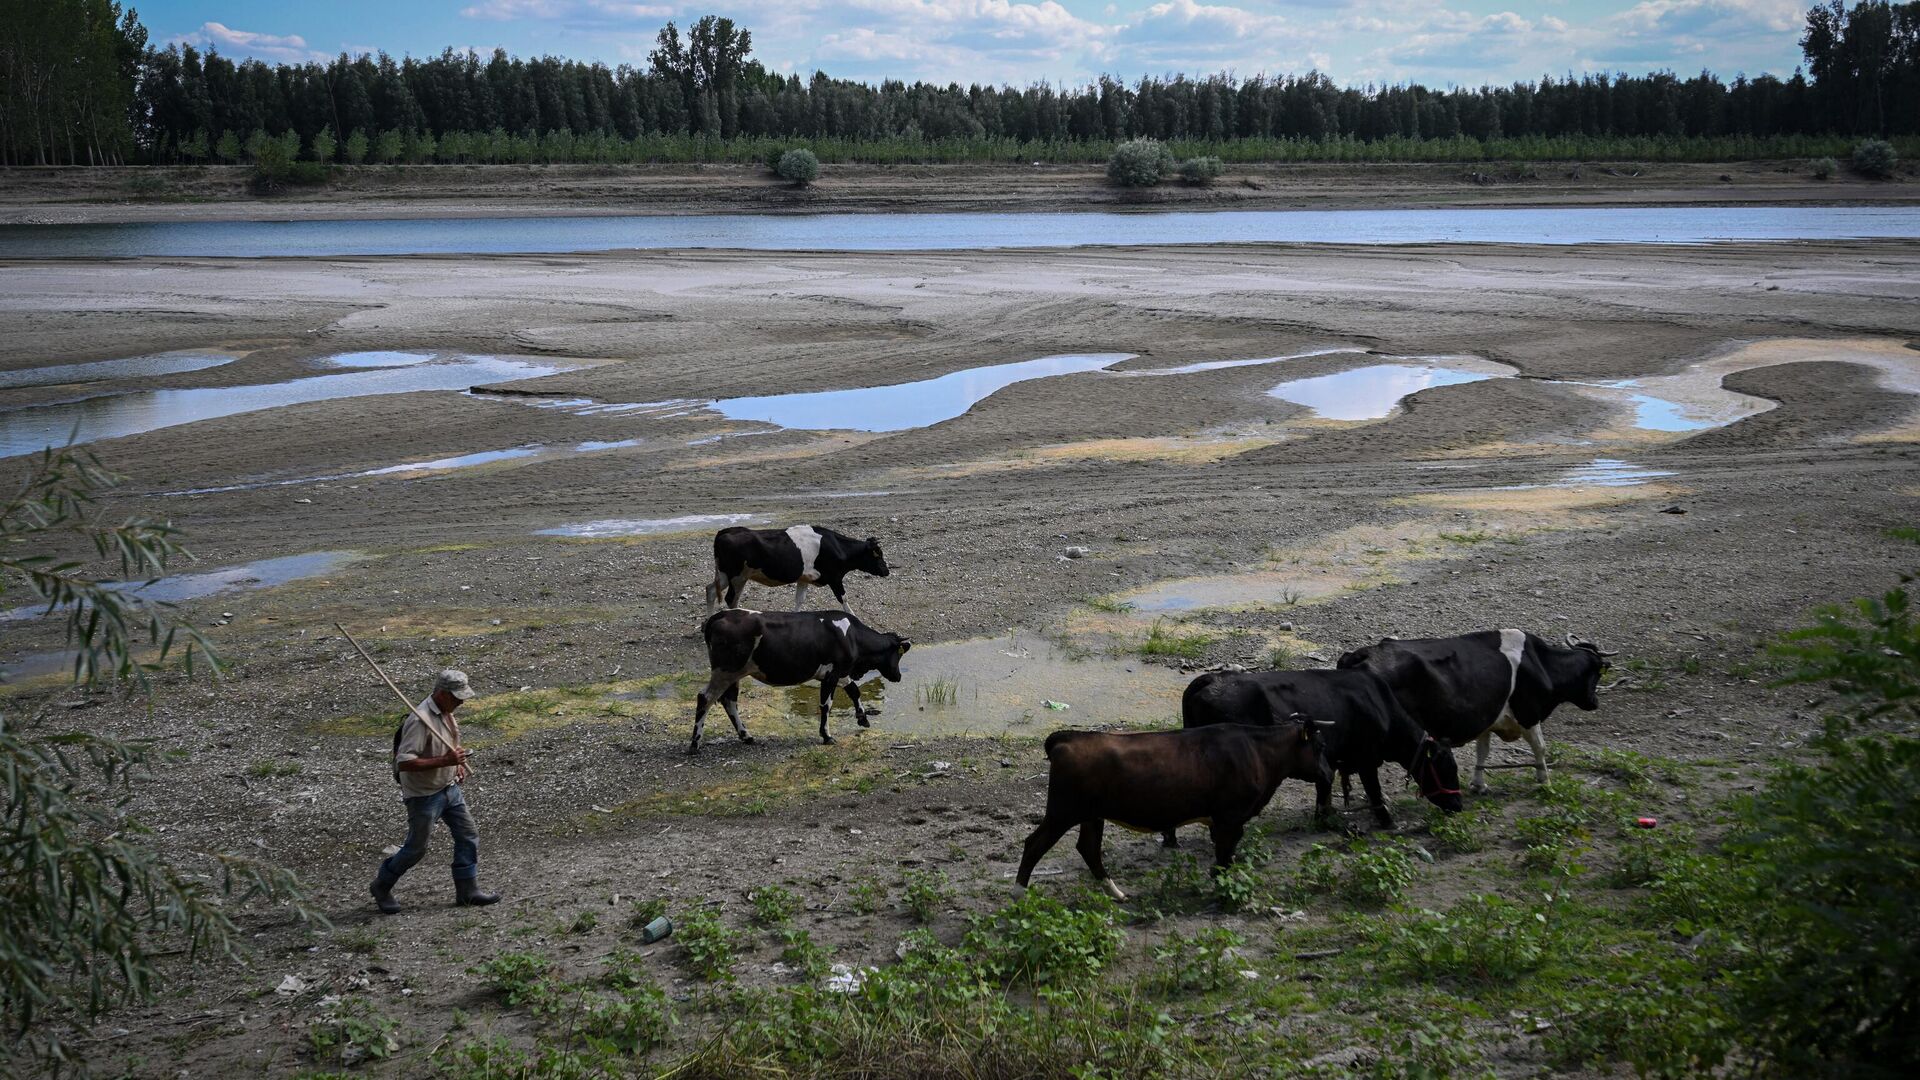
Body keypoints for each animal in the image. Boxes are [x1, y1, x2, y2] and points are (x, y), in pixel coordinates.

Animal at [691, 607, 913, 749]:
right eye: (899, 654)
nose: (898, 676)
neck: (852, 636)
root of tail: (720, 615)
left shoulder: (839, 673)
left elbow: (854, 691)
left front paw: (863, 718)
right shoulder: (832, 674)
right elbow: (826, 705)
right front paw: (827, 736)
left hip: (733, 674)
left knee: (729, 701)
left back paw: (746, 736)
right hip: (725, 671)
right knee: (705, 698)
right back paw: (695, 743)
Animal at [706, 522, 890, 611]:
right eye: (878, 555)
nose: (887, 571)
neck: (837, 546)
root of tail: (725, 531)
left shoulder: (805, 578)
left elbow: (799, 600)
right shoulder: (835, 577)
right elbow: (843, 599)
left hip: (725, 574)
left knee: (711, 590)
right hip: (738, 576)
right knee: (731, 598)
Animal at [1013, 722, 1328, 899]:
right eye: (1319, 746)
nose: (1327, 772)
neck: (1257, 750)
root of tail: (1069, 737)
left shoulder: (1226, 820)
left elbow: (1225, 855)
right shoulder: (1230, 817)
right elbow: (1225, 855)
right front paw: (1223, 889)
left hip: (1091, 815)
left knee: (1088, 848)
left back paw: (1117, 894)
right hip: (1063, 811)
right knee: (1034, 845)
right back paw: (1019, 896)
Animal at [1175, 664, 1459, 834]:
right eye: (1447, 769)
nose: (1458, 806)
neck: (1382, 708)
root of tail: (1212, 679)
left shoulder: (1330, 759)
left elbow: (1324, 788)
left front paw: (1324, 819)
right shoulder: (1367, 759)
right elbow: (1374, 791)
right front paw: (1388, 821)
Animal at [1336, 630, 1620, 791]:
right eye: (1598, 672)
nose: (1595, 702)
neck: (1540, 663)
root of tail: (1359, 655)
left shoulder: (1487, 719)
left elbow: (1482, 752)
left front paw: (1478, 784)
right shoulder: (1529, 714)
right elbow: (1540, 747)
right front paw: (1544, 781)